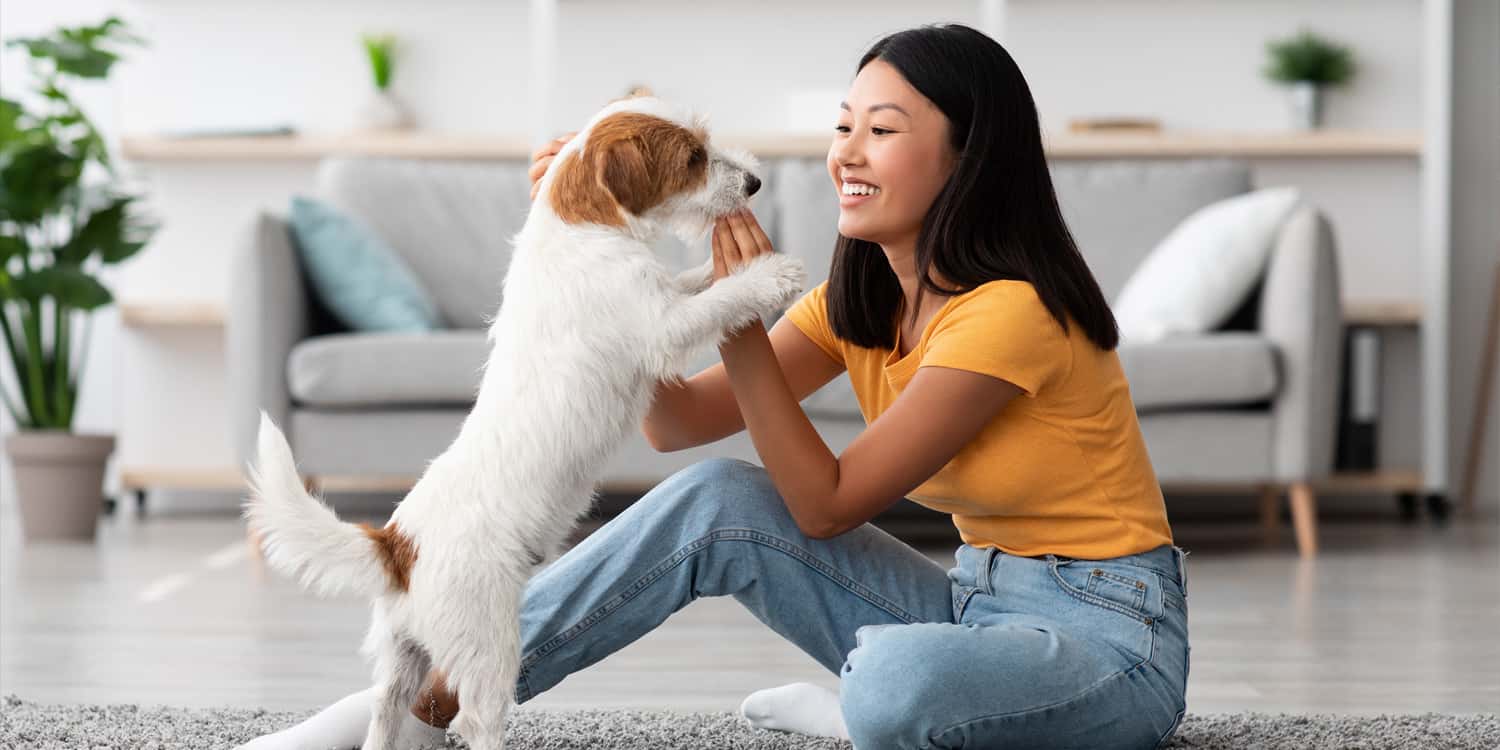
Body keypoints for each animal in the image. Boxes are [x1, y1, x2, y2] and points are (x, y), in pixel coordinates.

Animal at [243, 98, 810, 750]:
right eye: (693, 157)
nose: (756, 183)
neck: (581, 227)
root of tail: (398, 545)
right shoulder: (663, 327)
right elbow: (717, 301)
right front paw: (771, 275)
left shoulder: (663, 292)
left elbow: (694, 280)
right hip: (488, 646)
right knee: (476, 720)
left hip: (402, 653)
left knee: (386, 713)